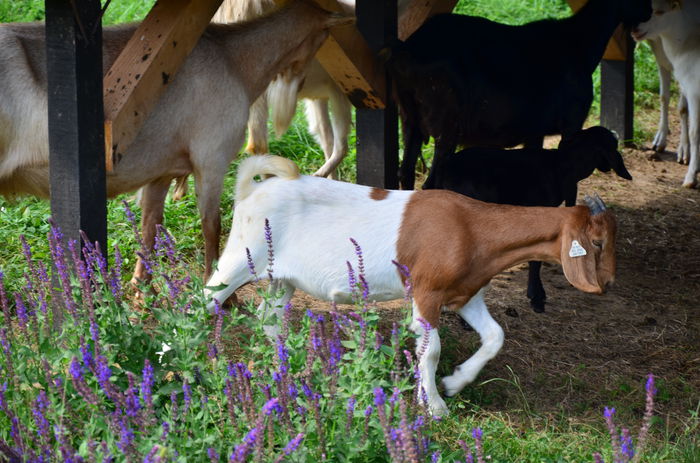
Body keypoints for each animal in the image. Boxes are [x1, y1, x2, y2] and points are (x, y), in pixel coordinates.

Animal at [0, 0, 350, 282]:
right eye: (325, 39)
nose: (308, 82)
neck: (234, 59)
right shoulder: (212, 158)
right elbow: (212, 224)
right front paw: (219, 290)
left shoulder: (162, 170)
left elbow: (150, 226)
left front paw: (141, 288)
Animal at [204, 155, 616, 416]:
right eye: (596, 243)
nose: (610, 283)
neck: (473, 228)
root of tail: (253, 190)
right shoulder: (426, 291)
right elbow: (430, 348)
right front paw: (434, 405)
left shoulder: (466, 294)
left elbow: (495, 336)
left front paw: (454, 382)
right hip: (240, 258)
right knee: (204, 300)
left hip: (282, 279)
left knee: (269, 318)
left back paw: (285, 367)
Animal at [386, 0, 652, 190]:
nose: (649, 11)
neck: (579, 44)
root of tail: (408, 50)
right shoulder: (572, 124)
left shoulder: (535, 130)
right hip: (446, 123)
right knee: (431, 183)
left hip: (410, 119)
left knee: (405, 173)